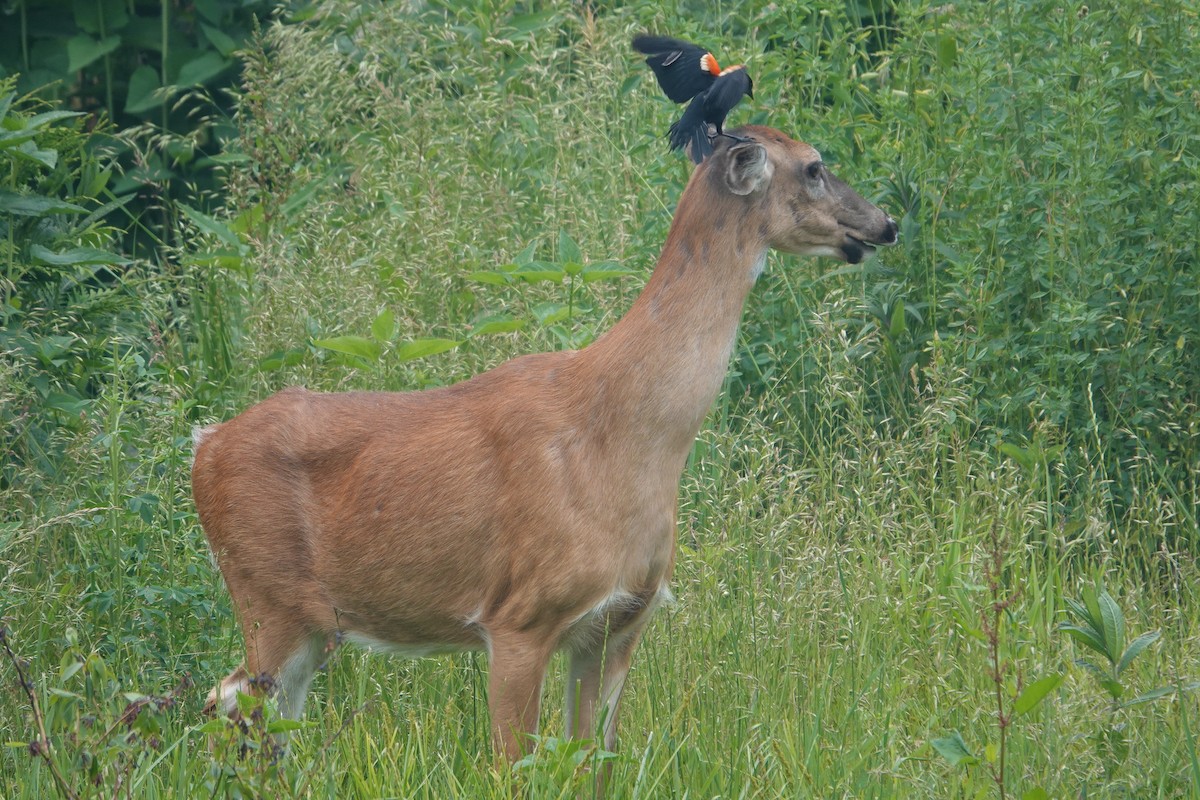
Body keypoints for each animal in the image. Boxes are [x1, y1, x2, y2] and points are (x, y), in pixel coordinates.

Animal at [192, 125, 897, 762]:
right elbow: (516, 766)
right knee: (235, 704)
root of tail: (204, 444)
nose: (886, 224)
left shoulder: (619, 624)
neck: (625, 437)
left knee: (256, 714)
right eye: (814, 166)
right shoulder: (518, 616)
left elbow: (591, 759)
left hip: (316, 622)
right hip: (264, 594)